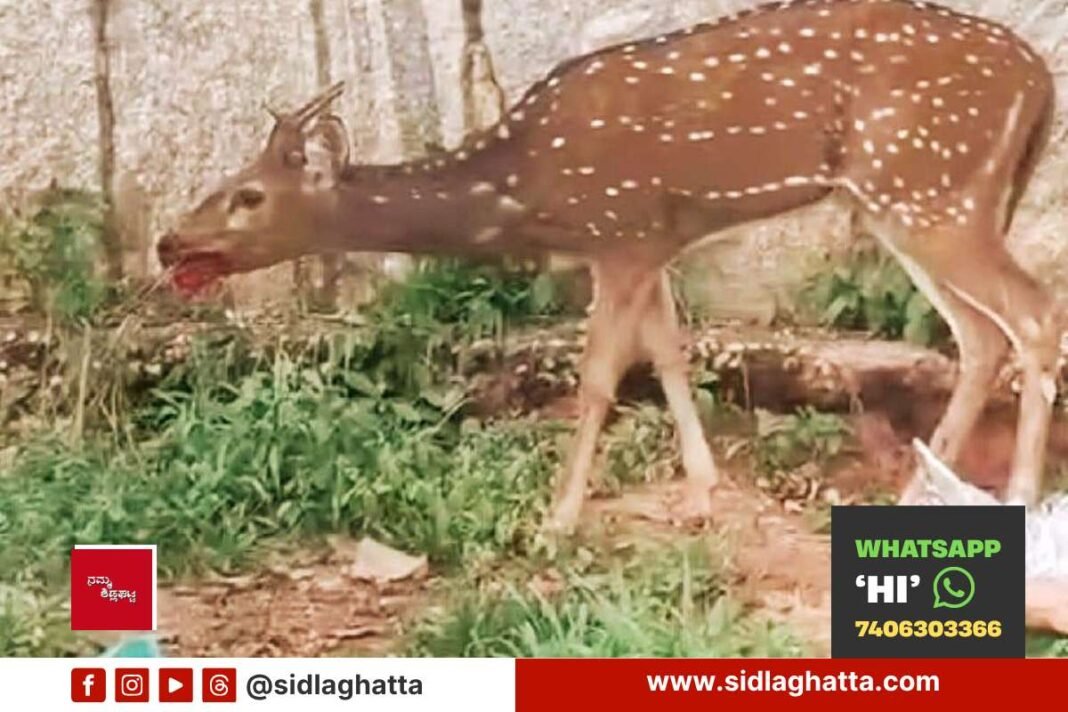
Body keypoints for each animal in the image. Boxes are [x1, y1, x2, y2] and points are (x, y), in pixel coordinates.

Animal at [158, 0, 1060, 534]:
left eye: (246, 196)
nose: (169, 243)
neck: (528, 190)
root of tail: (1040, 79)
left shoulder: (618, 232)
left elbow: (597, 376)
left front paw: (558, 516)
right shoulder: (648, 242)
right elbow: (668, 354)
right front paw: (700, 491)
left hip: (929, 186)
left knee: (1033, 315)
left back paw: (1018, 495)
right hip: (917, 199)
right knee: (981, 336)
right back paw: (918, 492)